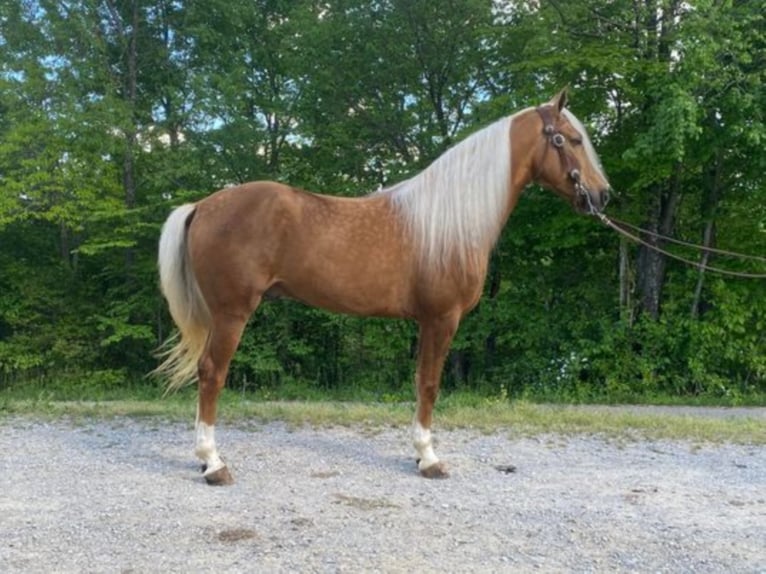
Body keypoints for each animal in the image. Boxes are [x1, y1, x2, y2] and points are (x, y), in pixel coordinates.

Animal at [156, 90, 612, 486]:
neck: (451, 221)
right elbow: (429, 384)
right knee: (212, 374)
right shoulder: (441, 319)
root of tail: (202, 206)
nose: (602, 195)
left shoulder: (428, 323)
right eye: (570, 139)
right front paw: (428, 458)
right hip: (231, 313)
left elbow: (420, 382)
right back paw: (213, 464)